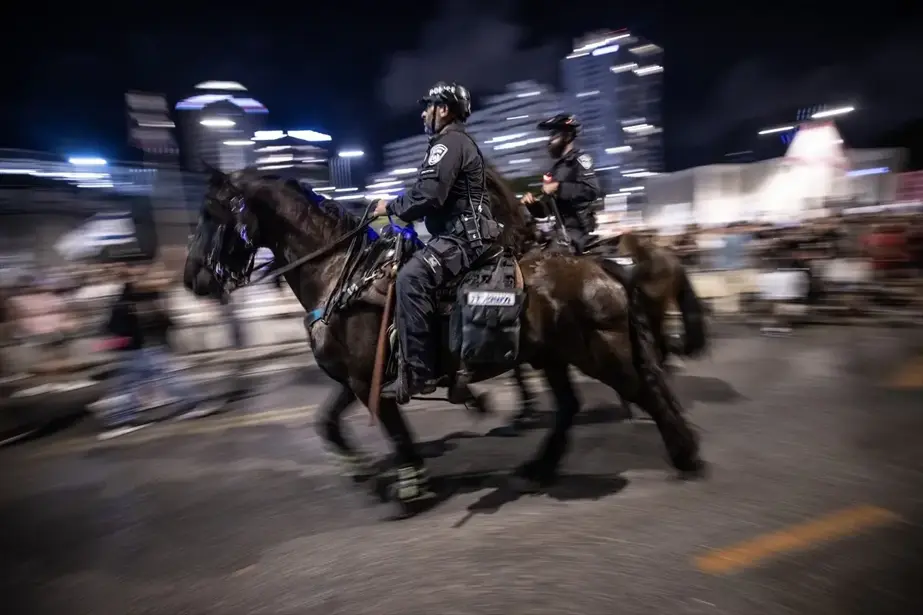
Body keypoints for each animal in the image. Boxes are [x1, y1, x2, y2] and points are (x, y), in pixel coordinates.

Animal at [184, 166, 704, 516]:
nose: (193, 279)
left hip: (601, 352)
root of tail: (602, 265)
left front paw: (411, 486)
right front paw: (362, 468)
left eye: (211, 213)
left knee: (646, 390)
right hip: (554, 356)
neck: (339, 273)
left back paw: (685, 455)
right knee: (571, 405)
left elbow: (396, 432)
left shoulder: (371, 380)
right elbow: (327, 423)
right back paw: (539, 465)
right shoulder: (354, 379)